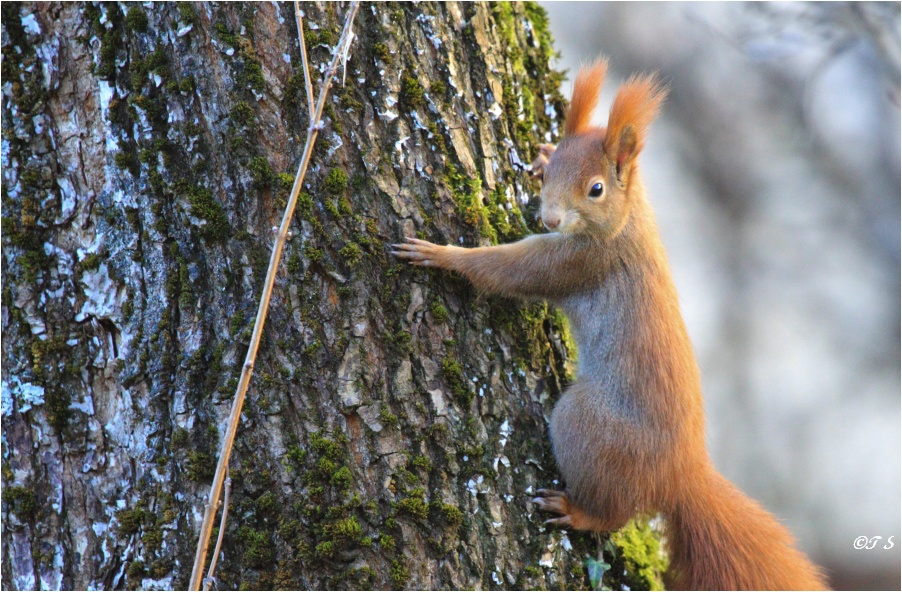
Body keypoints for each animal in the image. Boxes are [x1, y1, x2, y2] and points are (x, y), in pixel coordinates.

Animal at [392, 61, 828, 592]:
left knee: (615, 515)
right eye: (552, 172)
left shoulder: (577, 263)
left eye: (596, 188)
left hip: (587, 427)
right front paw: (539, 153)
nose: (549, 217)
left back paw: (576, 511)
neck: (627, 222)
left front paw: (441, 255)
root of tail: (681, 475)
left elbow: (509, 271)